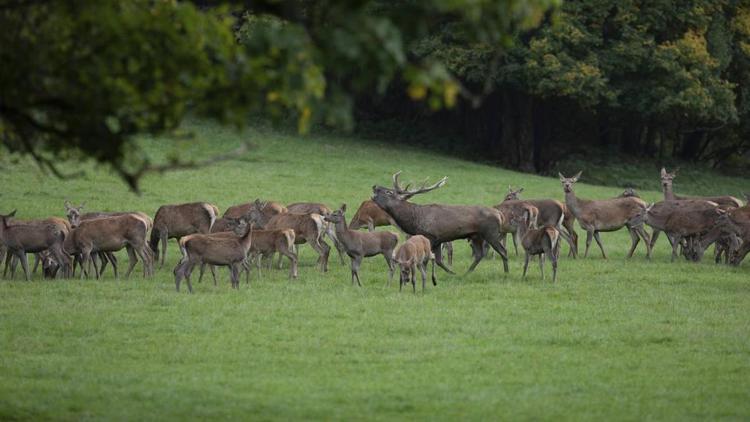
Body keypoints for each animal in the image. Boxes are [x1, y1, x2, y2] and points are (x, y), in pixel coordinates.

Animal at [372, 171, 512, 274]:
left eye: (389, 192)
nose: (375, 186)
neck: (415, 220)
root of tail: (499, 214)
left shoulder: (431, 236)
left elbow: (426, 260)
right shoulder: (438, 240)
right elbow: (439, 261)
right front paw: (451, 273)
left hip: (491, 233)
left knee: (503, 251)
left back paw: (506, 273)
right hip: (476, 235)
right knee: (479, 254)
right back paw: (467, 273)